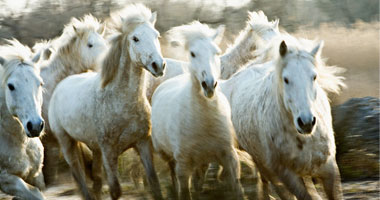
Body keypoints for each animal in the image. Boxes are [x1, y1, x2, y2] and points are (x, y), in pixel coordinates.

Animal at [47, 4, 165, 200]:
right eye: (135, 38)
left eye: (156, 35)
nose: (159, 65)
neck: (121, 101)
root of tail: (62, 84)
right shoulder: (109, 152)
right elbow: (115, 190)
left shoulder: (143, 144)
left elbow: (155, 185)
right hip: (66, 142)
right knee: (78, 173)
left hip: (95, 149)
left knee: (95, 178)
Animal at [151, 21, 243, 200]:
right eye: (193, 54)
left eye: (217, 52)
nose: (209, 85)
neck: (204, 116)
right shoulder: (183, 164)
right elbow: (185, 191)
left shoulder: (229, 156)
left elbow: (237, 190)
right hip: (169, 157)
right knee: (174, 177)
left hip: (203, 160)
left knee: (199, 181)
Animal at [218, 35, 346, 199]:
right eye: (286, 79)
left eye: (314, 77)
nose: (306, 122)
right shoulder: (287, 175)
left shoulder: (329, 169)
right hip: (266, 167)